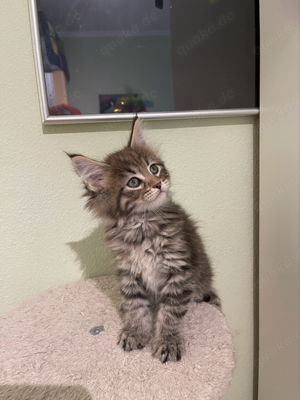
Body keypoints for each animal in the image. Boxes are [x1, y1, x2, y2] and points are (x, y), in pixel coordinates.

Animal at [70, 119, 220, 362]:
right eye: (133, 182)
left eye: (153, 168)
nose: (158, 184)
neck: (142, 225)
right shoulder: (129, 271)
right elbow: (136, 306)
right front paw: (136, 331)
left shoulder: (178, 271)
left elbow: (171, 312)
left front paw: (167, 341)